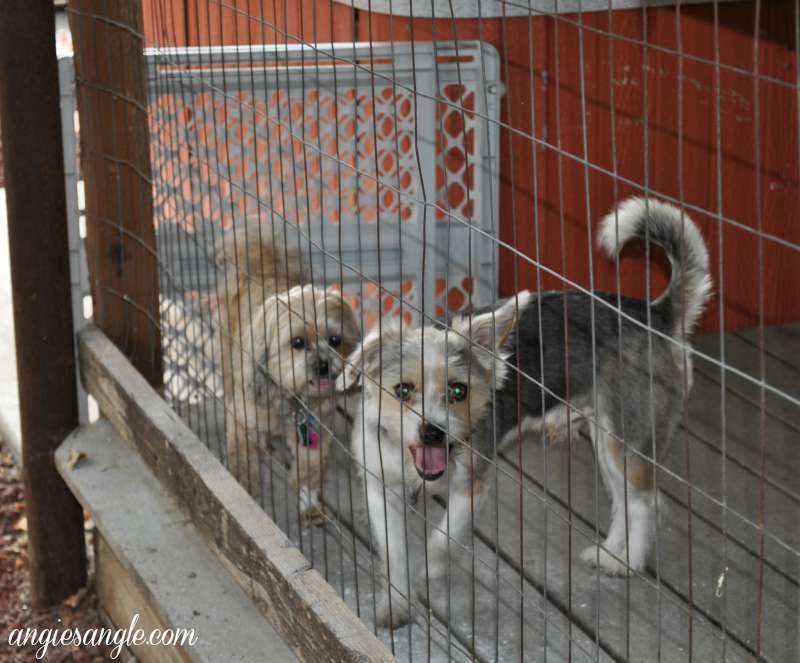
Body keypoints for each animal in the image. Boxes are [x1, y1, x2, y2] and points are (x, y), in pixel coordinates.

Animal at [334, 197, 708, 628]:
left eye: (458, 391)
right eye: (403, 390)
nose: (434, 433)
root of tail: (655, 314)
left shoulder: (471, 488)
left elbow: (443, 541)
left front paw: (428, 569)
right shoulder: (382, 491)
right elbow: (394, 554)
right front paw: (396, 604)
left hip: (626, 440)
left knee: (646, 501)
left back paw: (625, 563)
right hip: (606, 440)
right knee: (625, 500)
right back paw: (611, 553)